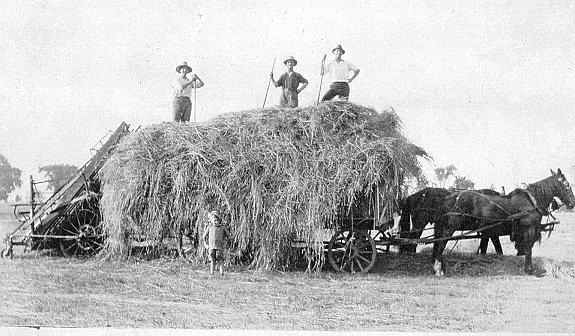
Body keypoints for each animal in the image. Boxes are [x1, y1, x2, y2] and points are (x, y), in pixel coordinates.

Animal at [434, 168, 572, 276]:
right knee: (440, 244)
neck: (531, 202)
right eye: (567, 185)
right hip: (449, 228)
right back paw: (438, 270)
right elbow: (528, 249)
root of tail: (447, 198)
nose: (573, 203)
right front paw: (529, 270)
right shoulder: (529, 230)